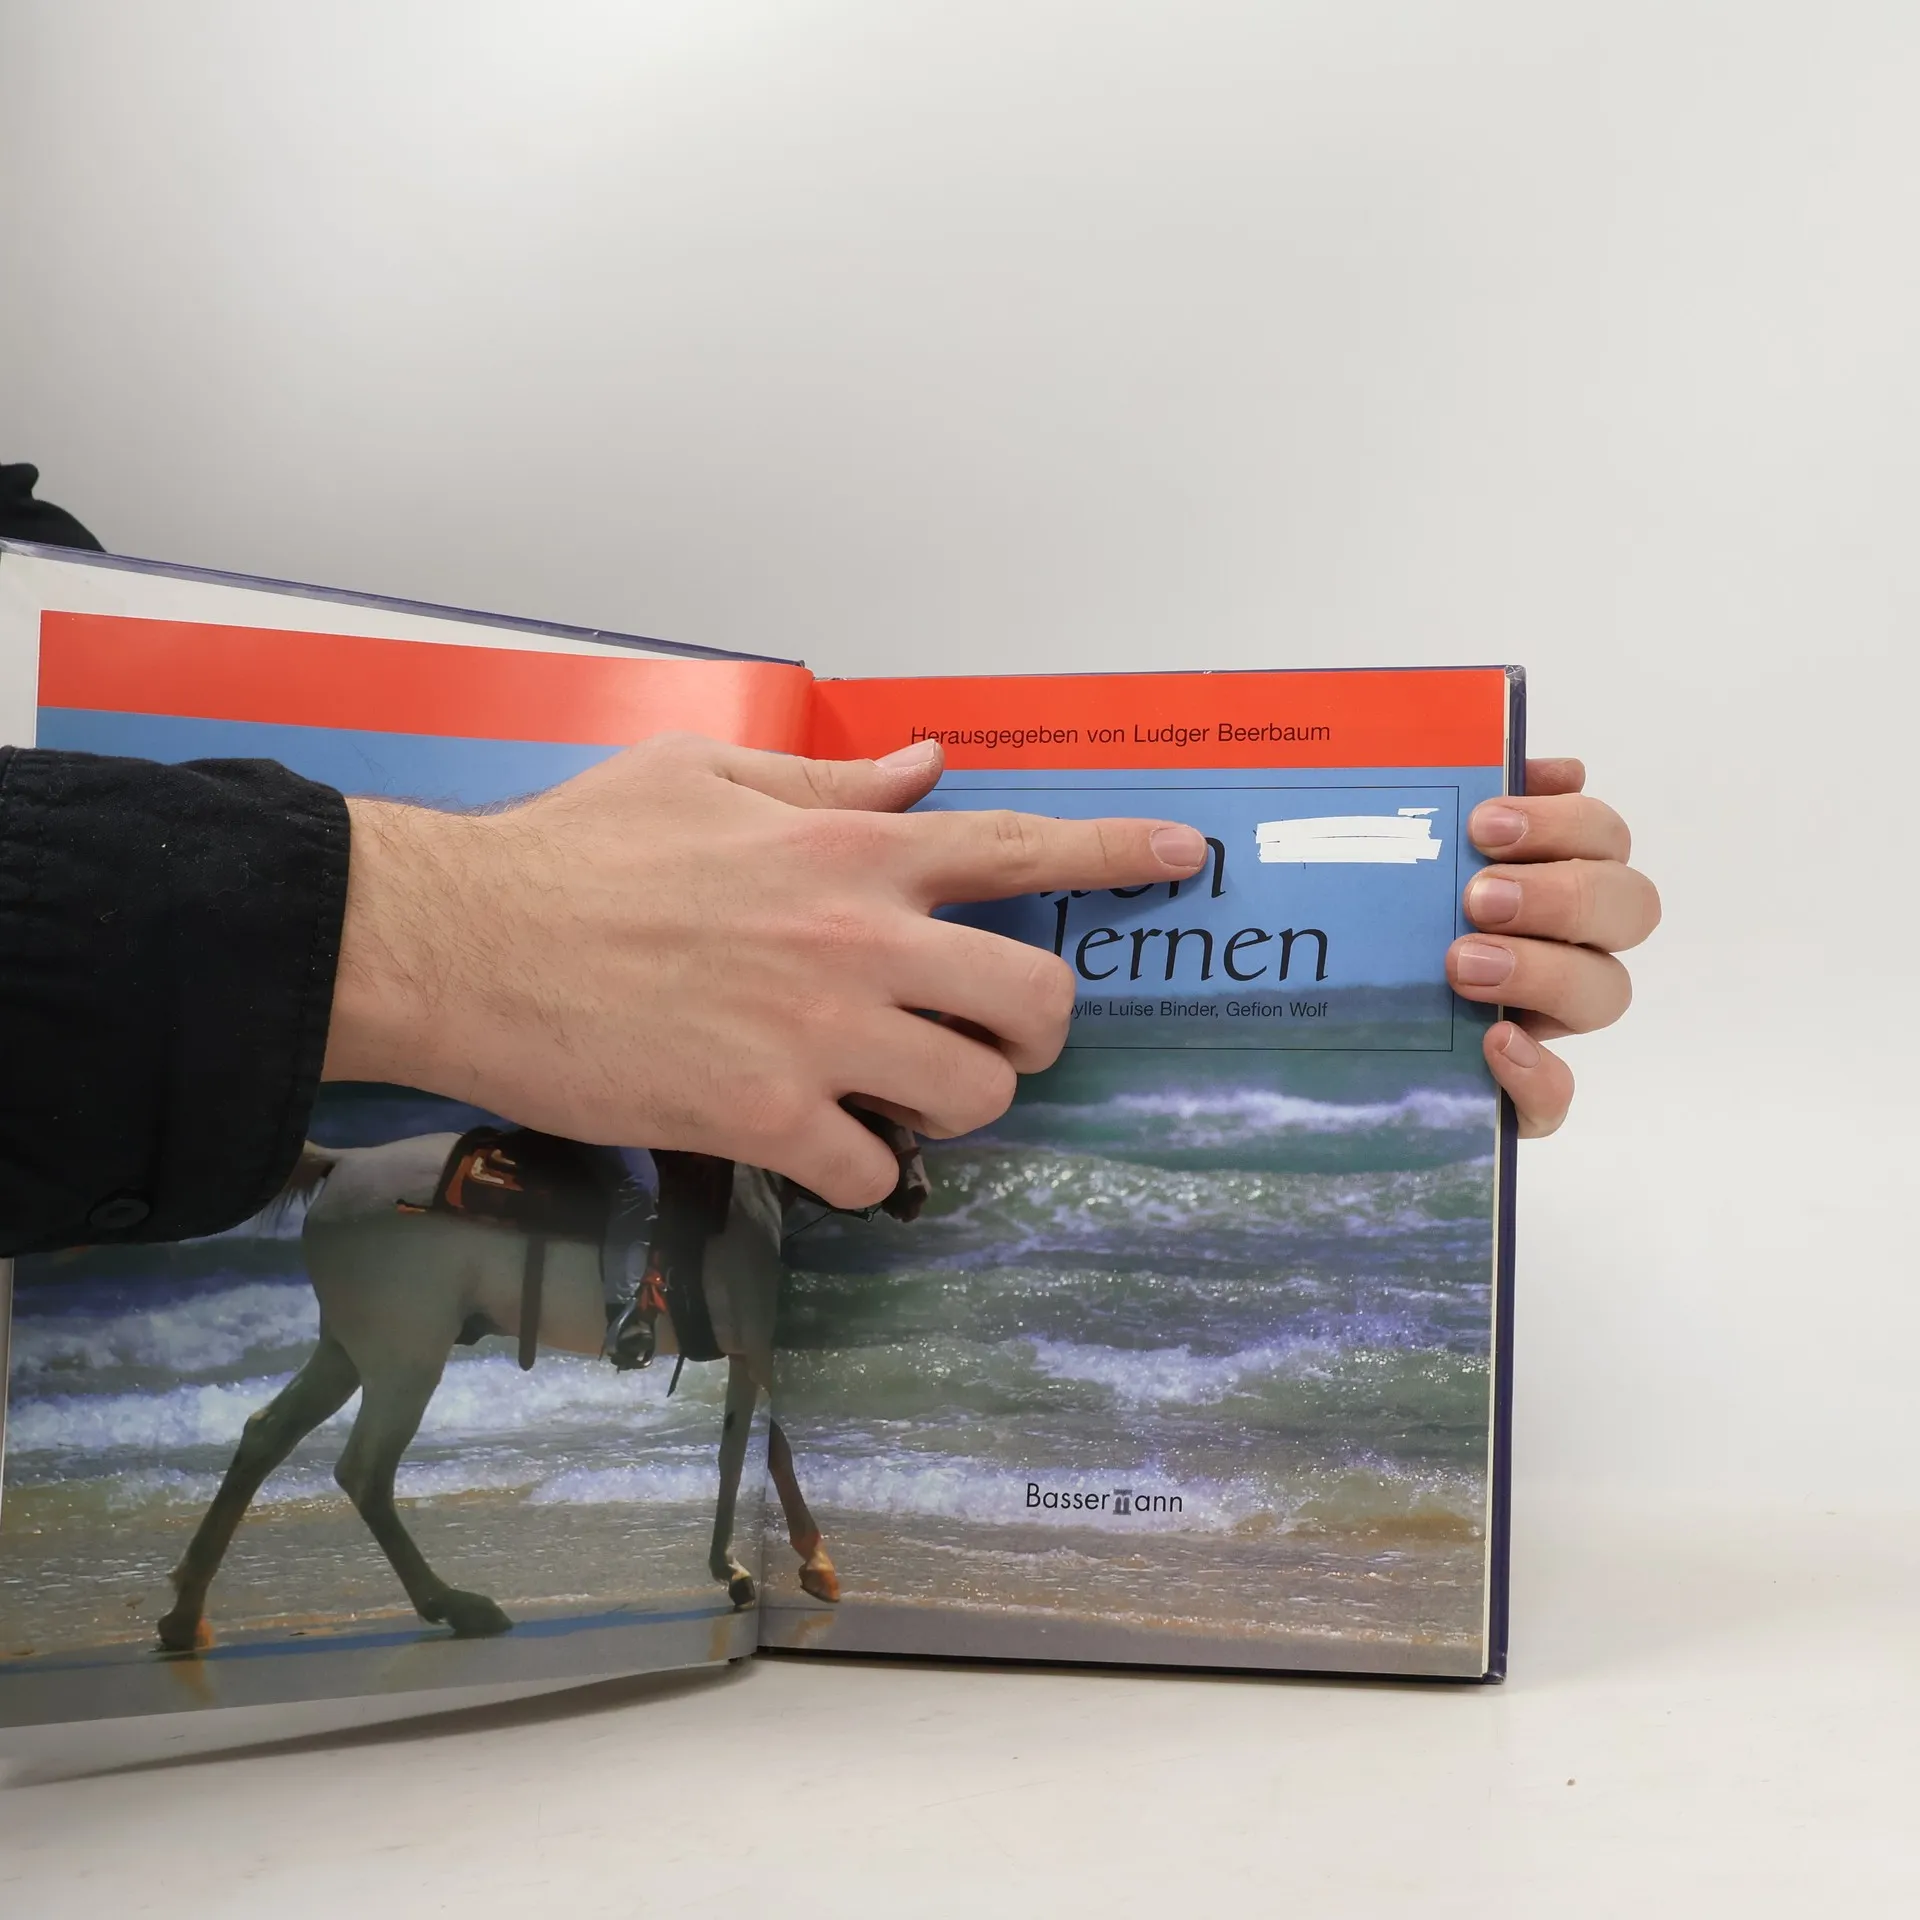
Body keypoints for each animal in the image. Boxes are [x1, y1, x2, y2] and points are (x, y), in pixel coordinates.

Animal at [154, 1131, 899, 1653]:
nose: (911, 1191)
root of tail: (345, 1163)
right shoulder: (760, 1347)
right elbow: (773, 1447)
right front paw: (812, 1562)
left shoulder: (743, 1355)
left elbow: (739, 1451)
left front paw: (737, 1568)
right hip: (404, 1358)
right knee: (364, 1471)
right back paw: (455, 1605)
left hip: (346, 1351)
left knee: (264, 1435)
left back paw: (186, 1613)